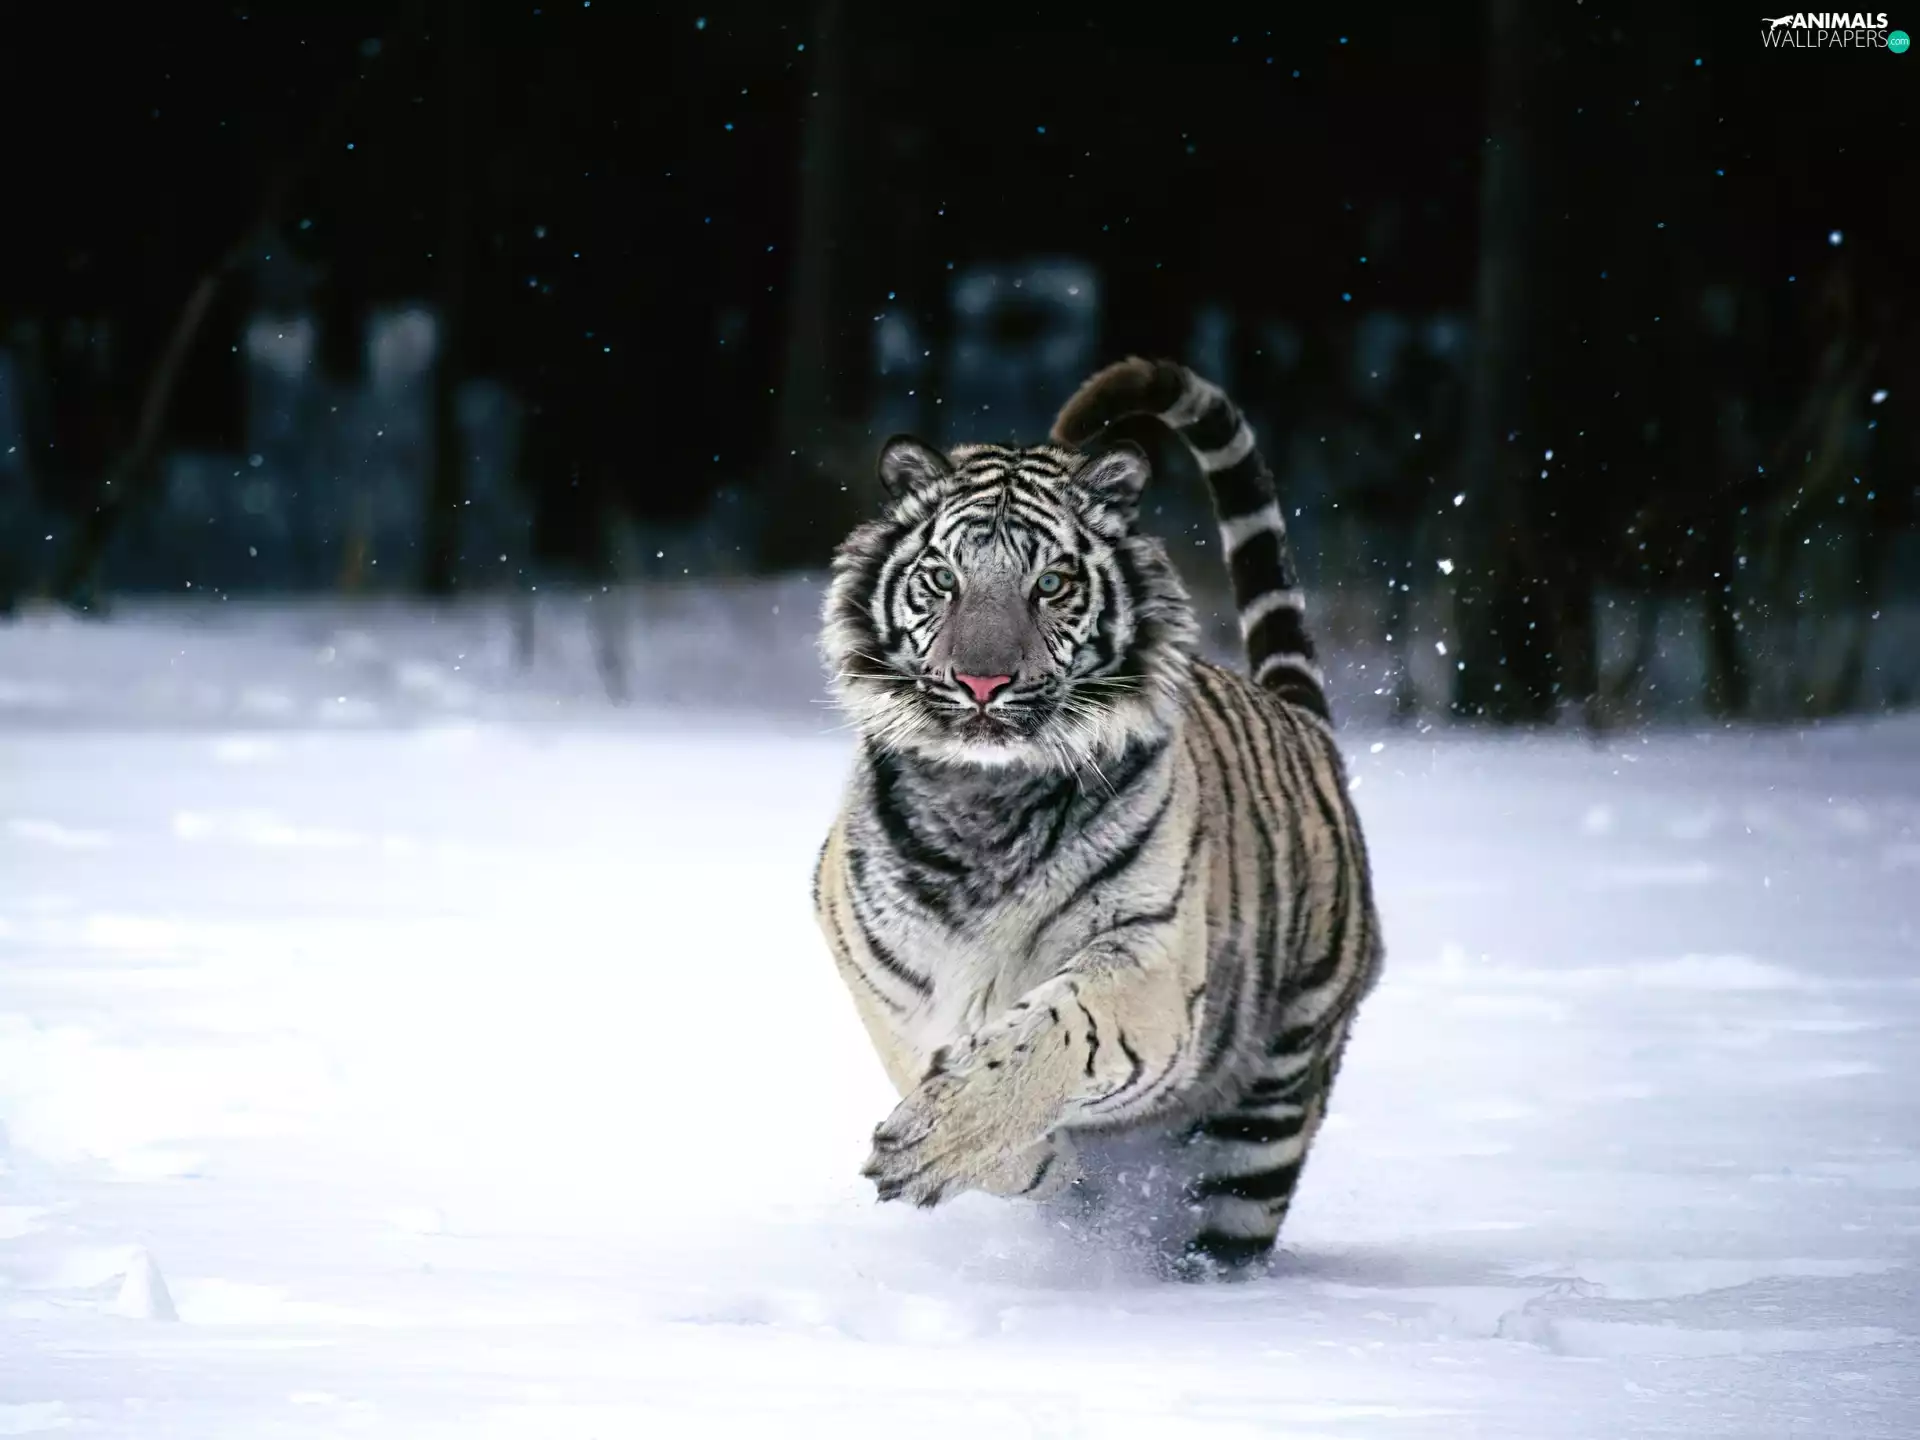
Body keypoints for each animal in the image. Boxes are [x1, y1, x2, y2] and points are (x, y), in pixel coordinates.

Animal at [812, 357, 1383, 1274]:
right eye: (944, 579)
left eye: (1051, 583)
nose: (981, 682)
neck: (984, 801)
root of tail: (1308, 726)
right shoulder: (878, 965)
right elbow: (924, 1056)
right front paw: (1032, 1166)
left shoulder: (1151, 957)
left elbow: (1051, 1033)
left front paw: (937, 1141)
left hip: (1268, 1113)